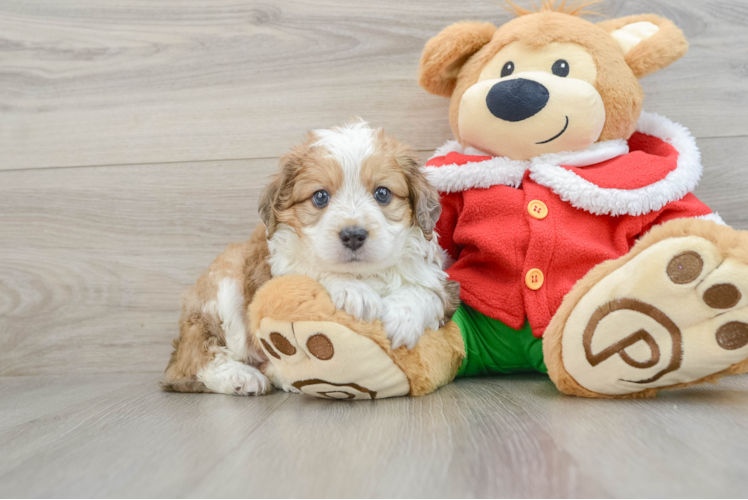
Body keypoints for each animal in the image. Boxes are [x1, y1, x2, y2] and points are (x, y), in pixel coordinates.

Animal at [162, 121, 456, 394]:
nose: (353, 235)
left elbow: (427, 292)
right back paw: (241, 377)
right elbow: (309, 269)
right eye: (320, 197)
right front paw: (353, 291)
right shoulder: (278, 264)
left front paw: (401, 318)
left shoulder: (438, 278)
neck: (362, 272)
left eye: (382, 193)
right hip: (224, 287)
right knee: (191, 361)